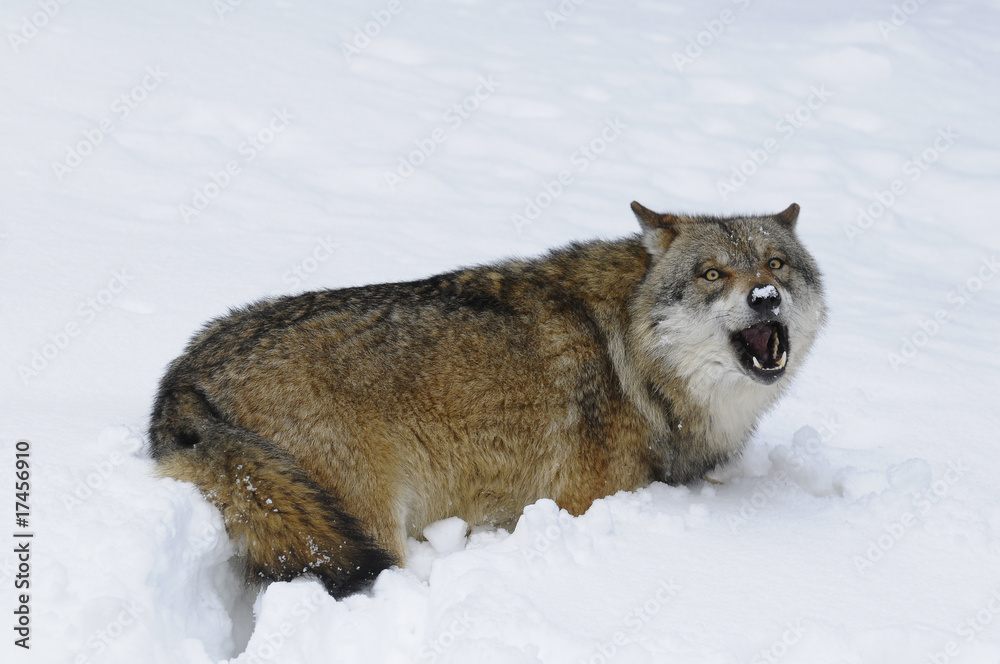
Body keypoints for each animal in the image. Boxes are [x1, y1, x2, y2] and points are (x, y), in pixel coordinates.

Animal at [149, 201, 825, 597]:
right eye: (712, 274)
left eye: (775, 264)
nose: (765, 297)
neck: (637, 357)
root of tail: (183, 371)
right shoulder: (580, 502)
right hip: (369, 529)